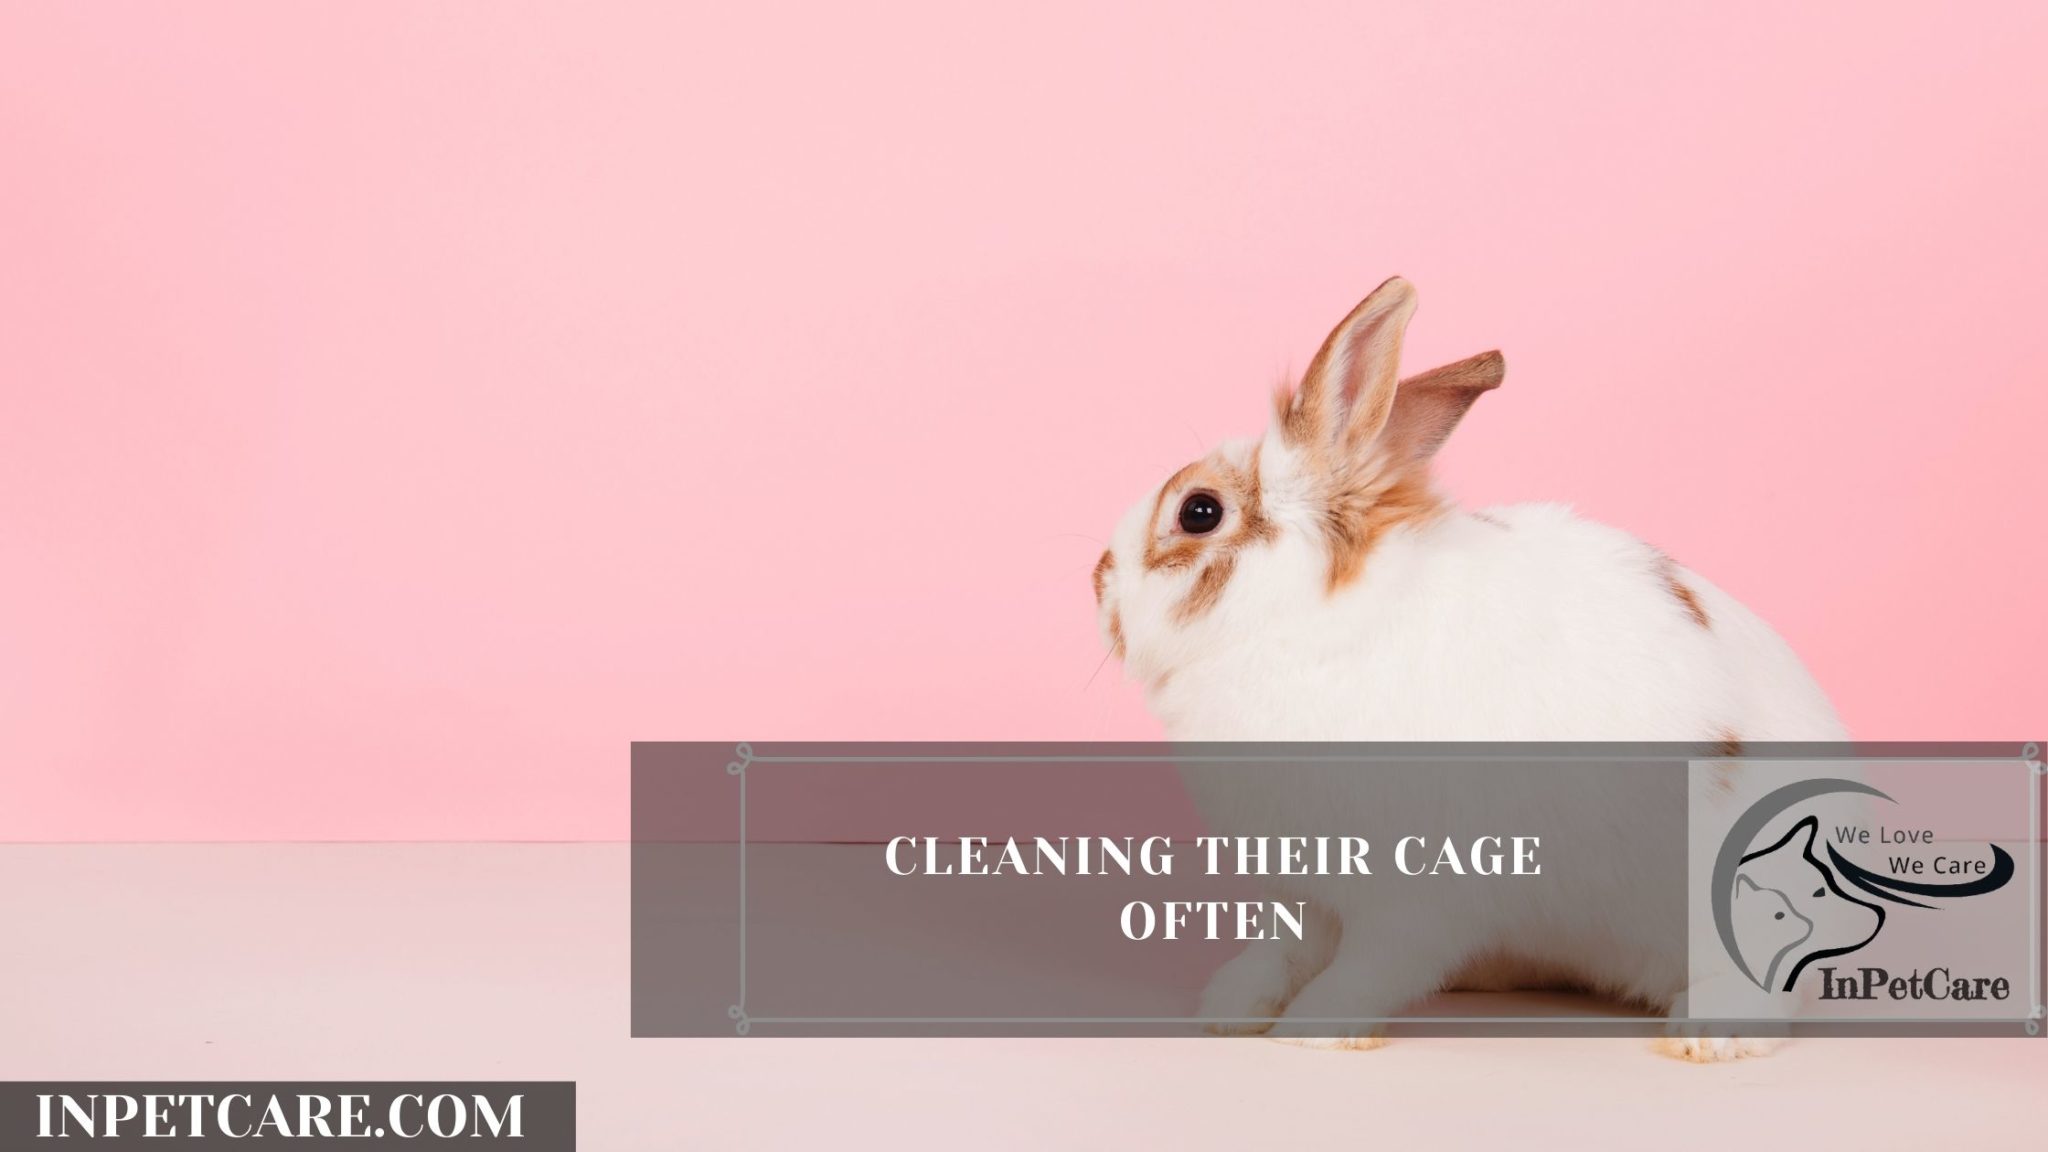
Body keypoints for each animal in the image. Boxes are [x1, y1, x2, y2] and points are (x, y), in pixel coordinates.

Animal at [1090, 276, 1848, 1061]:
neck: (1300, 629)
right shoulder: (1304, 889)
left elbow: (1374, 962)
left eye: (1199, 512)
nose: (1098, 583)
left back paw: (1708, 1034)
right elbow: (1281, 951)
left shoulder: (1419, 889)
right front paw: (1231, 1011)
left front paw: (1318, 1029)